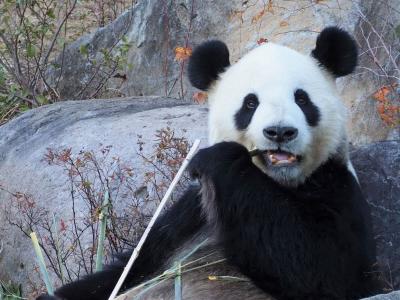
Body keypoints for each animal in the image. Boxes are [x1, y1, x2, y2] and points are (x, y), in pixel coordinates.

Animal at [38, 26, 384, 300]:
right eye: (250, 103)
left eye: (302, 99)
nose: (279, 132)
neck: (274, 182)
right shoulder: (189, 214)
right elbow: (129, 268)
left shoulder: (335, 185)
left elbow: (324, 268)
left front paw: (219, 158)